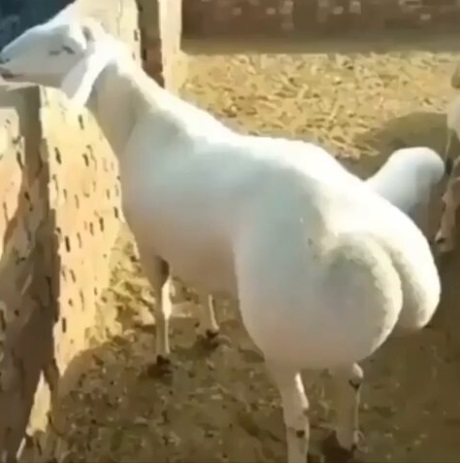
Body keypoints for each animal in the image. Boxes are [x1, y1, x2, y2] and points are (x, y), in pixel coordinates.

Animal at [0, 17, 441, 462]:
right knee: (351, 377)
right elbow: (202, 286)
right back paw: (345, 440)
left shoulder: (148, 241)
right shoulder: (194, 243)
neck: (140, 123)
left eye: (63, 49)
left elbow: (160, 302)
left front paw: (161, 356)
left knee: (299, 415)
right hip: (331, 336)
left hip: (283, 338)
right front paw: (209, 329)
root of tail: (390, 253)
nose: (3, 60)